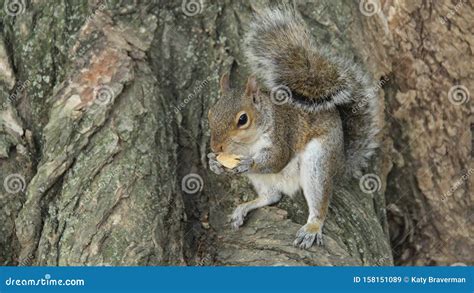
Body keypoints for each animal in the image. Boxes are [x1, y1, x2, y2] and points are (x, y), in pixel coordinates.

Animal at [207, 8, 382, 248]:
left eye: (242, 119)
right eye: (210, 113)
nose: (216, 147)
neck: (247, 144)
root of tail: (341, 163)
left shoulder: (283, 134)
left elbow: (277, 159)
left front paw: (247, 163)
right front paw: (213, 163)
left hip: (318, 163)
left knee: (318, 203)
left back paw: (312, 228)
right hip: (261, 179)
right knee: (271, 197)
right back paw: (244, 208)